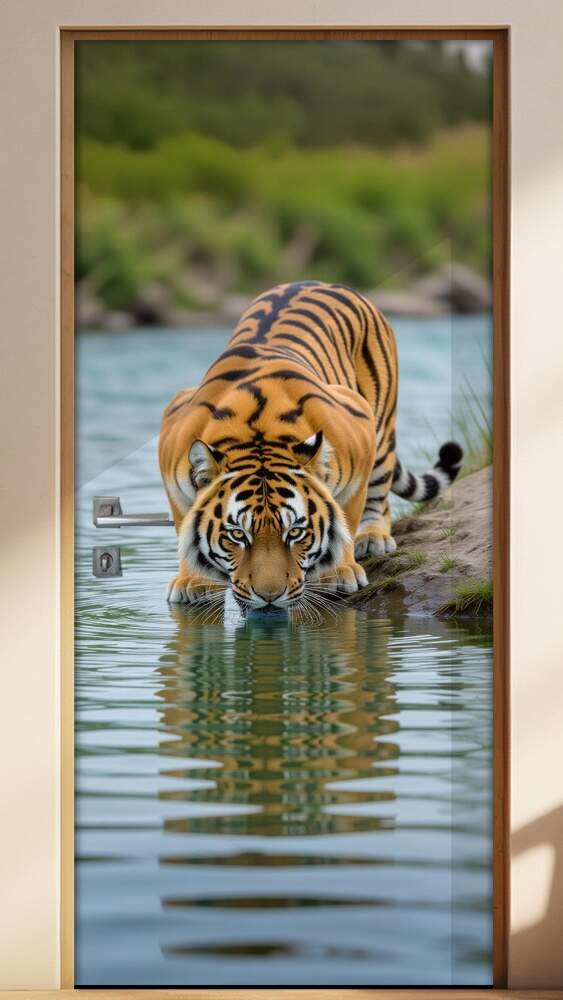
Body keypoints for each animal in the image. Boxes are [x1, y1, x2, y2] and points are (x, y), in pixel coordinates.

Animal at [159, 281, 463, 610]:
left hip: (381, 425)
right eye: (238, 534)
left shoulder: (359, 429)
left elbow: (344, 516)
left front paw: (337, 572)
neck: (256, 433)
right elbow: (186, 525)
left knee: (379, 495)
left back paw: (373, 537)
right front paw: (195, 581)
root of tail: (323, 283)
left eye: (295, 532)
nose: (269, 596)